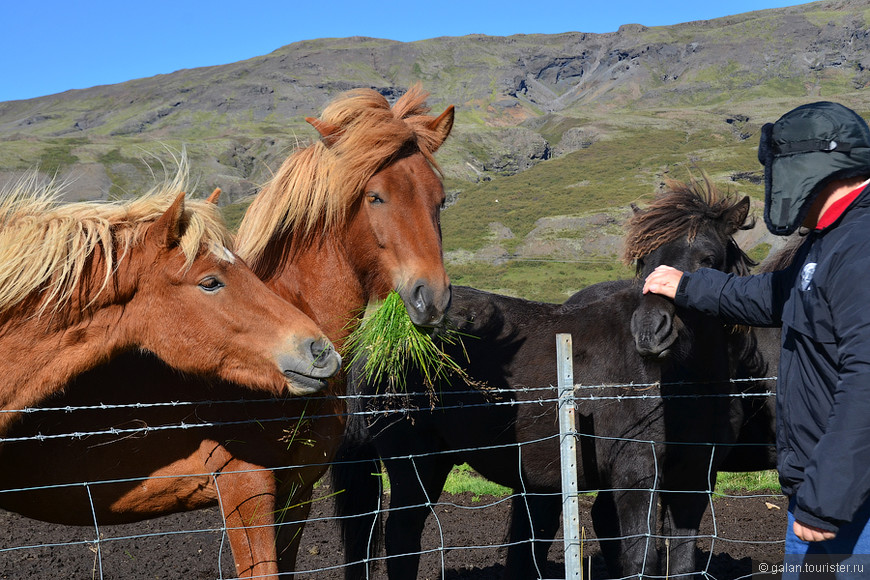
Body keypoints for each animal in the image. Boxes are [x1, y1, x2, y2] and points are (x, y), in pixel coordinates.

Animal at [334, 179, 756, 576]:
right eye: (644, 261)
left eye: (707, 258)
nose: (650, 332)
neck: (681, 384)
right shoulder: (636, 475)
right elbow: (641, 560)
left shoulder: (694, 477)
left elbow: (682, 563)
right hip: (415, 464)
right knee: (402, 540)